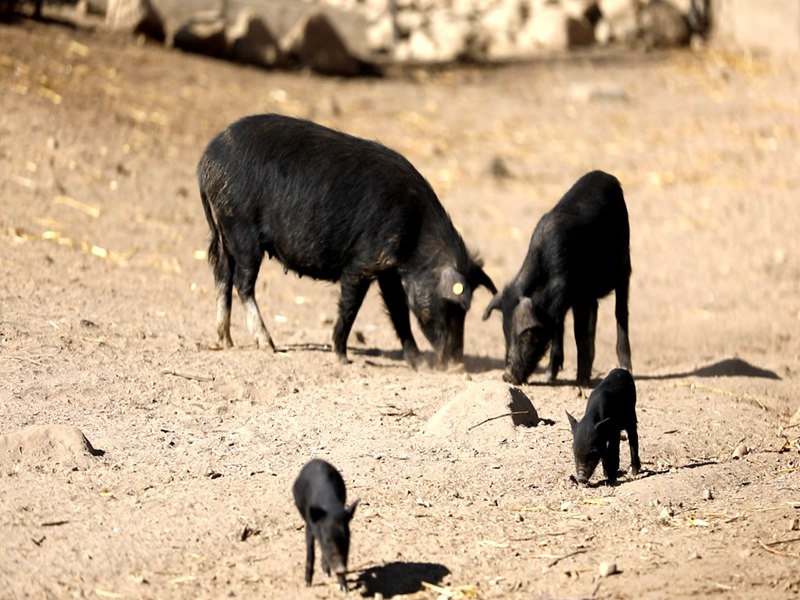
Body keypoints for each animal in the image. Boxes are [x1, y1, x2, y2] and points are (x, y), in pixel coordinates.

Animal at [197, 112, 494, 368]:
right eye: (454, 305)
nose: (456, 364)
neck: (415, 231)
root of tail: (207, 159)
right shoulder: (361, 263)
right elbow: (351, 307)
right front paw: (342, 358)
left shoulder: (387, 270)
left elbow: (398, 311)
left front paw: (419, 364)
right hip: (242, 228)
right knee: (242, 282)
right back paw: (268, 345)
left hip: (224, 231)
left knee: (222, 275)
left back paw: (226, 340)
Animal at [292, 460, 358, 592]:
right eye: (328, 540)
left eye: (348, 538)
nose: (341, 568)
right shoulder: (309, 526)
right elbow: (310, 551)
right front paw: (307, 584)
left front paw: (345, 589)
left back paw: (327, 573)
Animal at [482, 170, 632, 384]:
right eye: (505, 330)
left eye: (529, 335)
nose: (507, 376)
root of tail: (607, 176)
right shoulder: (559, 305)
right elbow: (558, 330)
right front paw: (549, 377)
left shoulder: (581, 297)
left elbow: (579, 334)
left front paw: (581, 383)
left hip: (624, 265)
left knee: (621, 312)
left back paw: (625, 367)